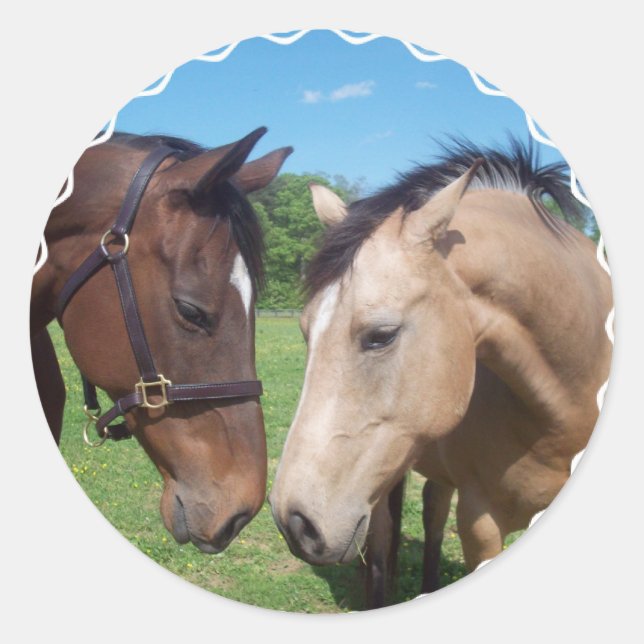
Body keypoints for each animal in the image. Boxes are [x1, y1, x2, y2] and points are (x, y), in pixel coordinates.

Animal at [269, 139, 612, 608]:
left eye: (381, 336)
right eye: (305, 331)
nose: (293, 522)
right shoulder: (480, 524)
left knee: (432, 514)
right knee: (382, 542)